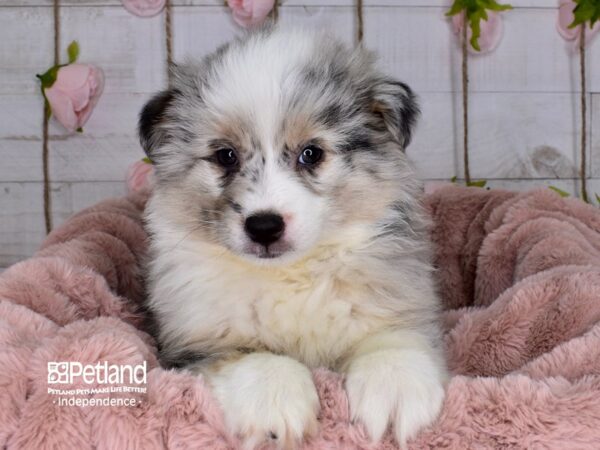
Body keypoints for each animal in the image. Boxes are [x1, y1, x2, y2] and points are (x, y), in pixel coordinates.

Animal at [141, 25, 448, 450]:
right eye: (225, 156)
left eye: (311, 153)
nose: (264, 226)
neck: (291, 274)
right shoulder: (192, 340)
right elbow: (252, 356)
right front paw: (274, 401)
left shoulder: (398, 300)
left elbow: (393, 337)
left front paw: (395, 388)